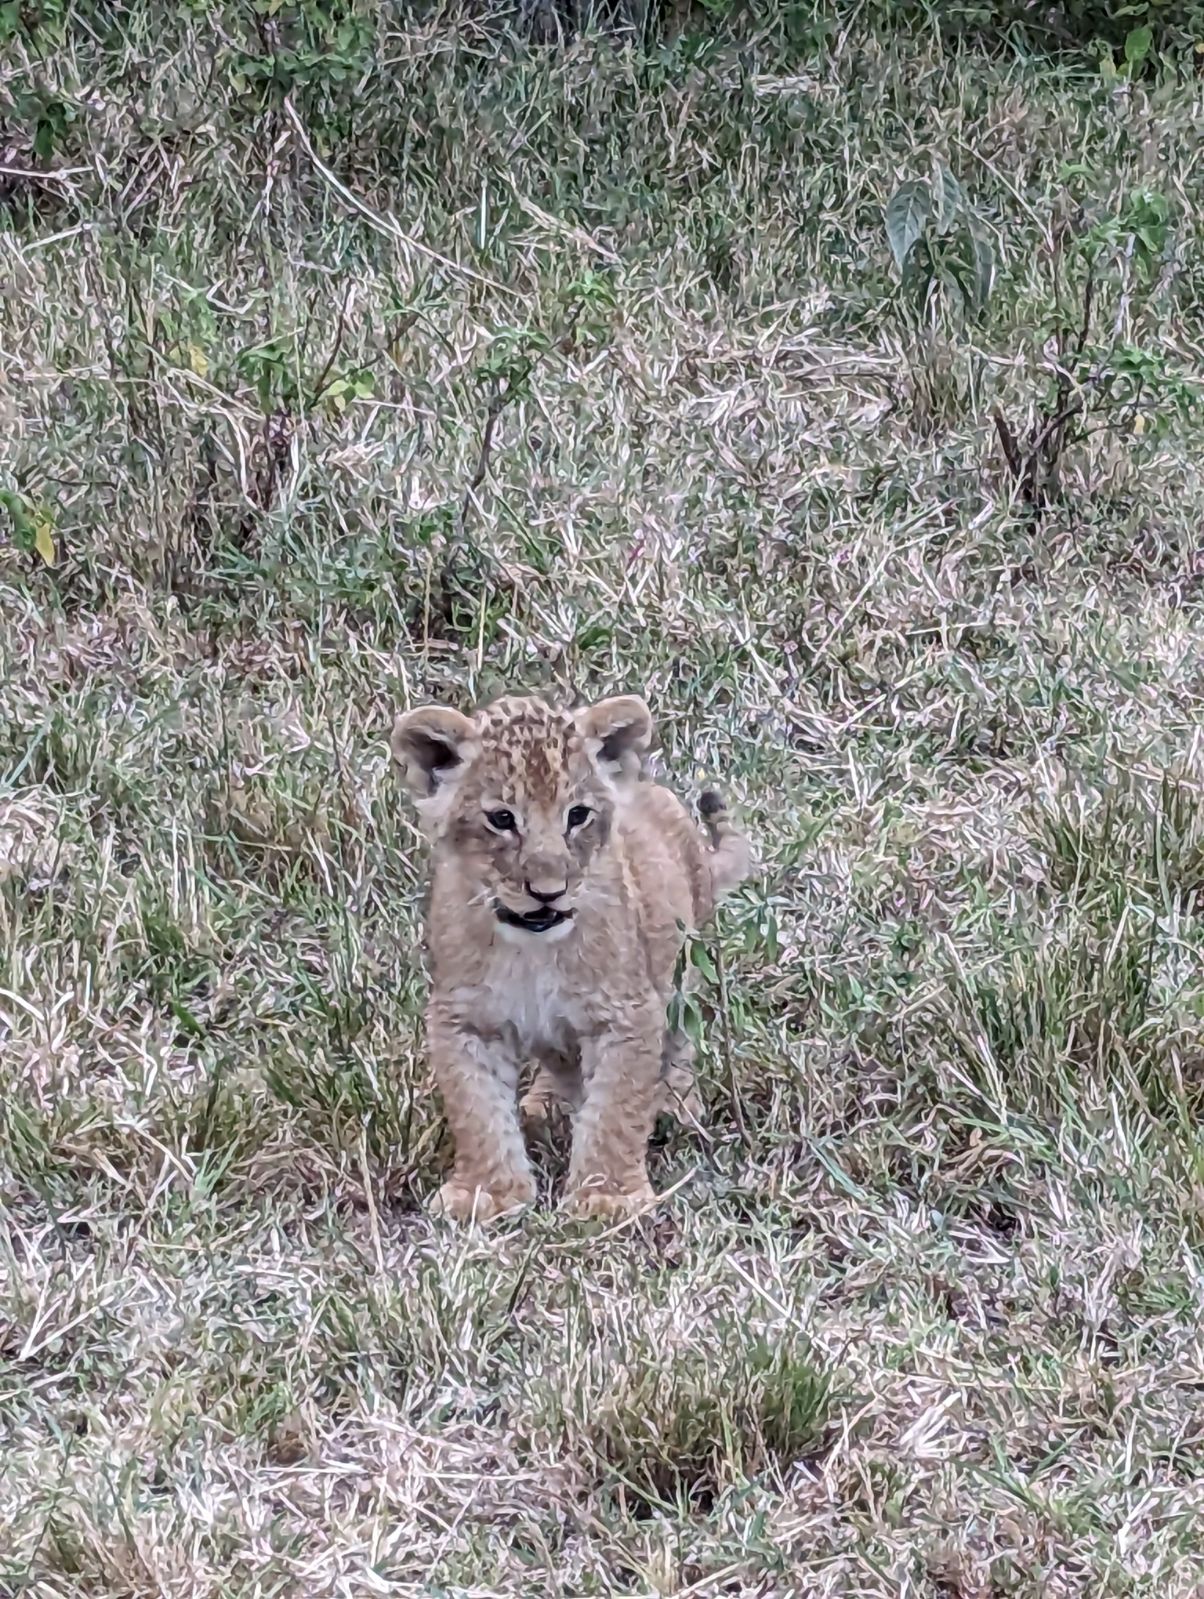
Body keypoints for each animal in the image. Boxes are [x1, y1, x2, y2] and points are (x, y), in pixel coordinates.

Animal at [394, 690, 748, 1221]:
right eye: (502, 819)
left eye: (577, 815)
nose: (548, 893)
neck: (533, 950)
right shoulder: (464, 1017)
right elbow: (476, 1109)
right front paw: (486, 1193)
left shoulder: (626, 1012)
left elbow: (616, 1108)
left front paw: (607, 1197)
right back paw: (544, 1107)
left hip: (682, 969)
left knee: (682, 1037)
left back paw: (674, 1104)